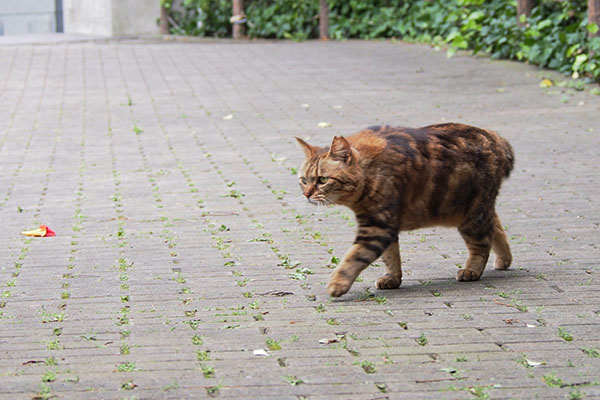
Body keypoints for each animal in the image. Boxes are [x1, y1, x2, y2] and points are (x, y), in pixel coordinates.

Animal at [292, 124, 512, 296]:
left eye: (322, 180)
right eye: (304, 180)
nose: (307, 194)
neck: (368, 173)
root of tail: (495, 136)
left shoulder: (377, 227)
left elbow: (354, 257)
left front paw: (337, 283)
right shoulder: (385, 225)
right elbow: (391, 257)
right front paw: (392, 278)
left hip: (471, 215)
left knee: (481, 245)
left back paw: (471, 271)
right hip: (476, 210)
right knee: (497, 229)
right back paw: (504, 260)